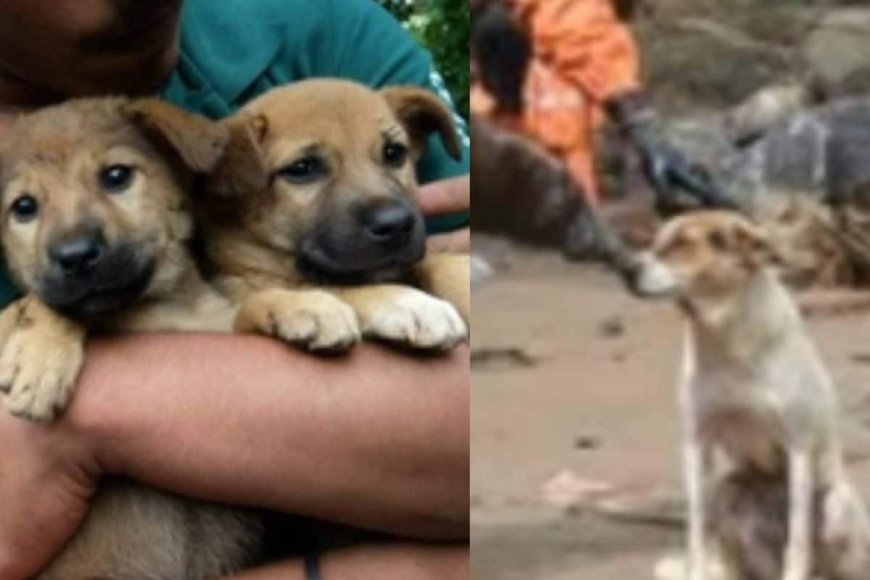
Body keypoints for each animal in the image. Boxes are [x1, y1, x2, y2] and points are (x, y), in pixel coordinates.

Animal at [0, 97, 262, 576]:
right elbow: (45, 303)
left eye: (116, 176)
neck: (162, 310)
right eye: (24, 207)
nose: (75, 257)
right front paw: (40, 358)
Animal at [200, 79, 470, 352]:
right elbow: (333, 285)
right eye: (302, 168)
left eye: (394, 153)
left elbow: (437, 260)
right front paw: (406, 301)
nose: (396, 224)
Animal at [628, 212, 870, 580]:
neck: (725, 338)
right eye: (656, 241)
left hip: (835, 505)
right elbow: (696, 532)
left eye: (681, 244)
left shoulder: (798, 448)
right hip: (729, 491)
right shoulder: (696, 443)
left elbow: (797, 539)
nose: (625, 269)